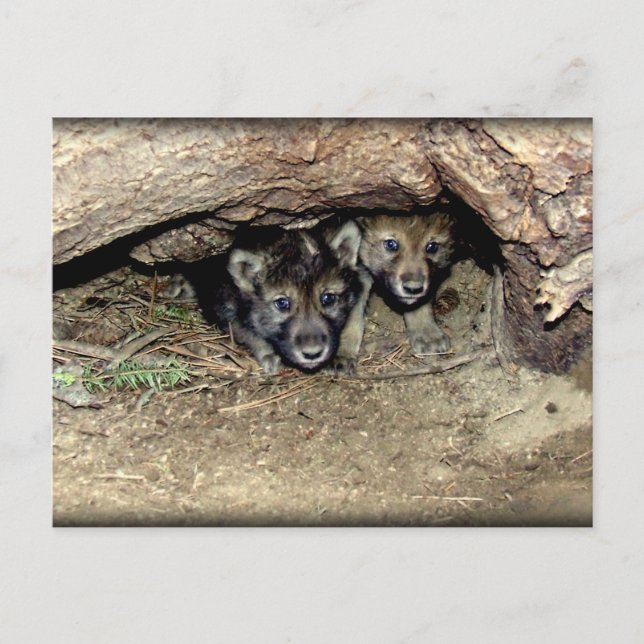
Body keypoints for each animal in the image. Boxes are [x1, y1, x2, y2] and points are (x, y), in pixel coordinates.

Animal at [191, 222, 363, 375]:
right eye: (282, 303)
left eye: (328, 298)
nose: (312, 353)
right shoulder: (224, 307)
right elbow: (248, 333)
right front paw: (269, 354)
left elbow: (353, 321)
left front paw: (343, 354)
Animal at [334, 210, 455, 371]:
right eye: (391, 244)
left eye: (432, 246)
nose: (413, 288)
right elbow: (352, 315)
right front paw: (342, 352)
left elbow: (421, 304)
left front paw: (427, 334)